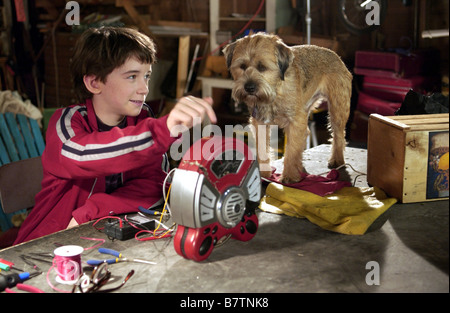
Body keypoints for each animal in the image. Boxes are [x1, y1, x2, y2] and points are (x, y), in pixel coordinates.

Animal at [223, 32, 354, 182]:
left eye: (262, 67)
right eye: (242, 66)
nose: (249, 87)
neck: (274, 92)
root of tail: (336, 56)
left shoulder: (295, 121)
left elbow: (292, 149)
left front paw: (290, 176)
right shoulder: (260, 123)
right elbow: (262, 148)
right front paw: (263, 173)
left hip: (337, 110)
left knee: (339, 135)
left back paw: (337, 160)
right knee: (307, 133)